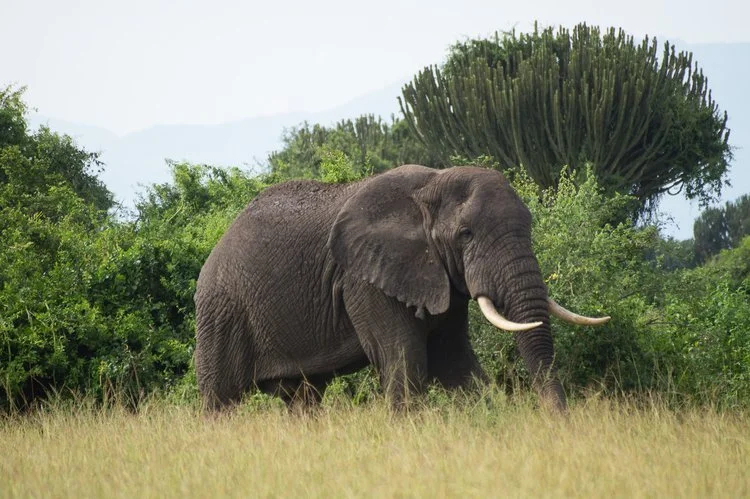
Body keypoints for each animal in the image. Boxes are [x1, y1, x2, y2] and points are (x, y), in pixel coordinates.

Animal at [194, 164, 609, 412]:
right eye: (466, 234)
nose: (557, 423)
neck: (431, 185)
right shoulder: (365, 279)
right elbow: (405, 362)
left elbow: (455, 362)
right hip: (222, 310)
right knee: (220, 399)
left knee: (304, 397)